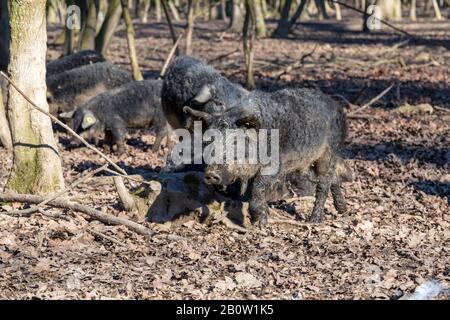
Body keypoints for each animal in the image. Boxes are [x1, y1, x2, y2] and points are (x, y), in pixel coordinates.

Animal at [183, 85, 348, 225]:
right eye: (209, 141)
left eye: (235, 142)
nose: (211, 173)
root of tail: (337, 106)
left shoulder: (276, 165)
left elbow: (257, 188)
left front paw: (260, 224)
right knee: (333, 178)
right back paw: (343, 210)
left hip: (329, 151)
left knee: (324, 183)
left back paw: (314, 221)